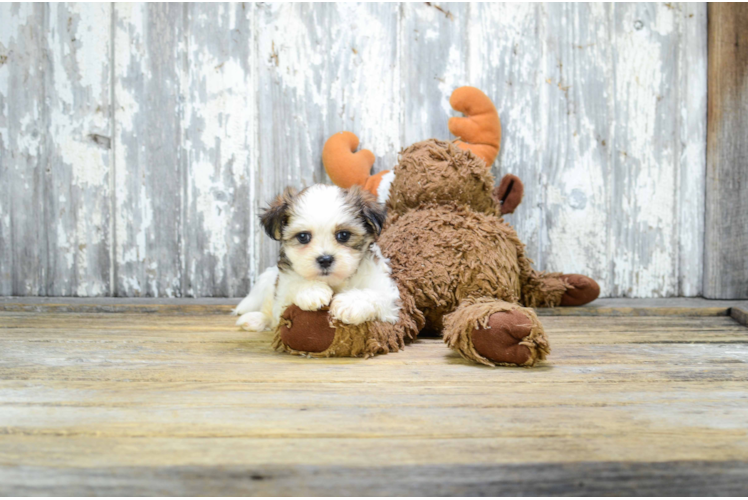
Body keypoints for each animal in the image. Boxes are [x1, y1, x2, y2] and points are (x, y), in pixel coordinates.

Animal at [234, 184, 400, 332]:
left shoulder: (385, 292)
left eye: (344, 235)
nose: (325, 259)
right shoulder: (282, 293)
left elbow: (378, 294)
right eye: (303, 237)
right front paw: (312, 290)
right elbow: (291, 286)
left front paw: (351, 303)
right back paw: (255, 319)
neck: (335, 282)